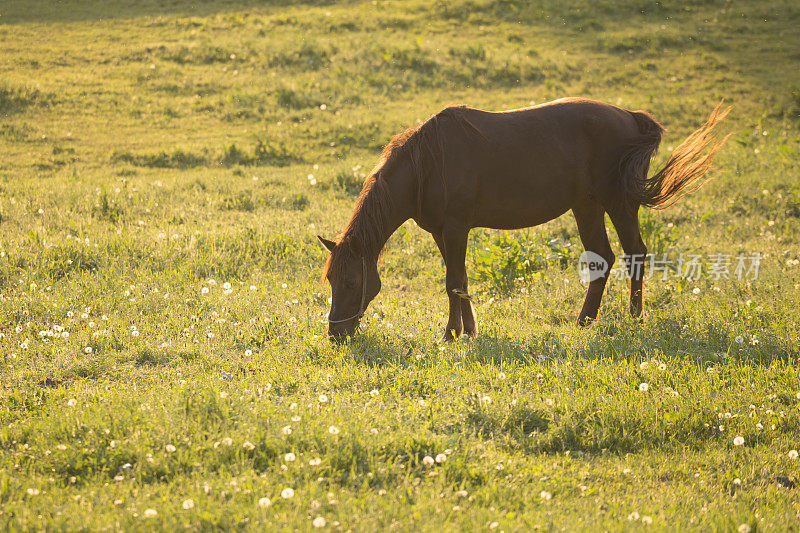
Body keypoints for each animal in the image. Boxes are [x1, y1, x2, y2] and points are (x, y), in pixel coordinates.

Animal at [316, 97, 728, 340]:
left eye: (351, 281)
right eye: (331, 280)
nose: (335, 334)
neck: (427, 164)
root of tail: (631, 117)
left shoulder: (456, 228)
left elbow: (453, 282)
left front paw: (450, 335)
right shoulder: (442, 232)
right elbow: (459, 279)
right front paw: (469, 330)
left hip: (619, 203)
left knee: (635, 254)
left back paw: (634, 318)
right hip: (588, 207)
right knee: (604, 259)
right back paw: (584, 321)